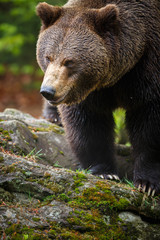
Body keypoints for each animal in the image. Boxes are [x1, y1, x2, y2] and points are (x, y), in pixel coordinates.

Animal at [36, 0, 160, 196]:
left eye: (69, 61)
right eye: (48, 57)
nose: (48, 91)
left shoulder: (148, 69)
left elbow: (149, 124)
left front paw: (147, 183)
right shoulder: (87, 92)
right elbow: (88, 123)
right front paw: (104, 171)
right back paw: (53, 116)